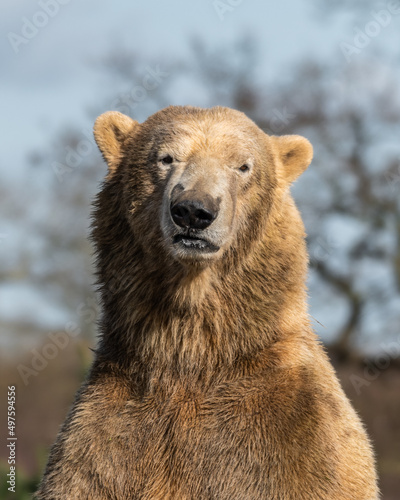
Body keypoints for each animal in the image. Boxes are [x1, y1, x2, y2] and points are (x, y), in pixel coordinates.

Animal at [35, 106, 378, 500]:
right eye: (166, 158)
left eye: (243, 166)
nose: (193, 211)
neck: (195, 356)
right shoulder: (105, 436)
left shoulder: (293, 432)